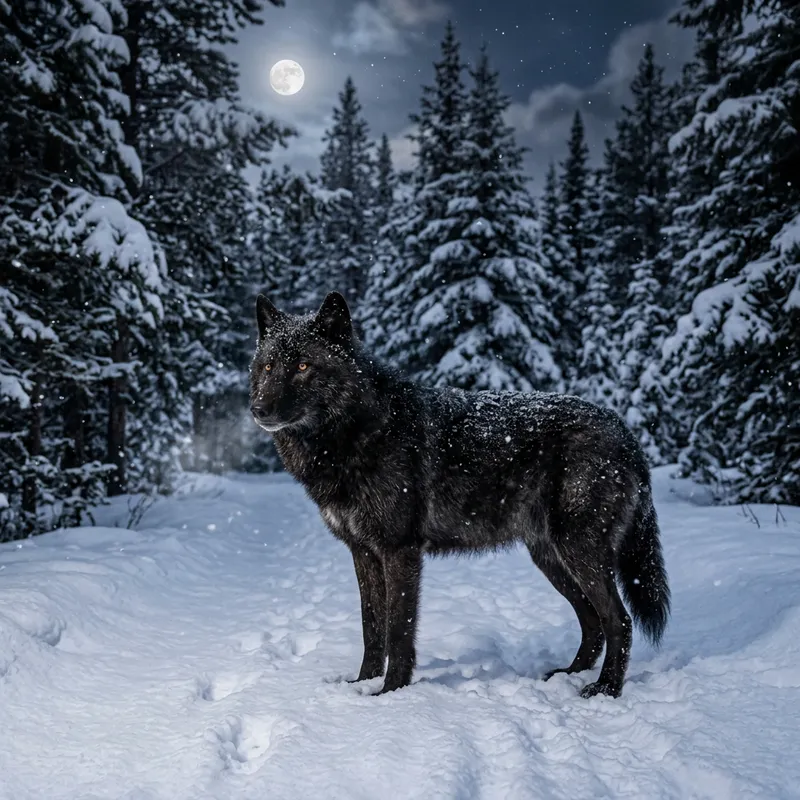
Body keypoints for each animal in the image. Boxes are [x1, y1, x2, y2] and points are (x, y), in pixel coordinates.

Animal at [249, 292, 670, 698]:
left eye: (303, 366)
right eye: (268, 367)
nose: (258, 409)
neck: (355, 433)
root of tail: (623, 430)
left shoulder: (400, 550)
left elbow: (398, 631)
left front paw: (390, 693)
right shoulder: (363, 552)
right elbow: (372, 630)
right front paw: (361, 685)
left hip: (578, 552)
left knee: (619, 620)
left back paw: (606, 689)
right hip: (551, 559)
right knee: (592, 620)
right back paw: (569, 674)